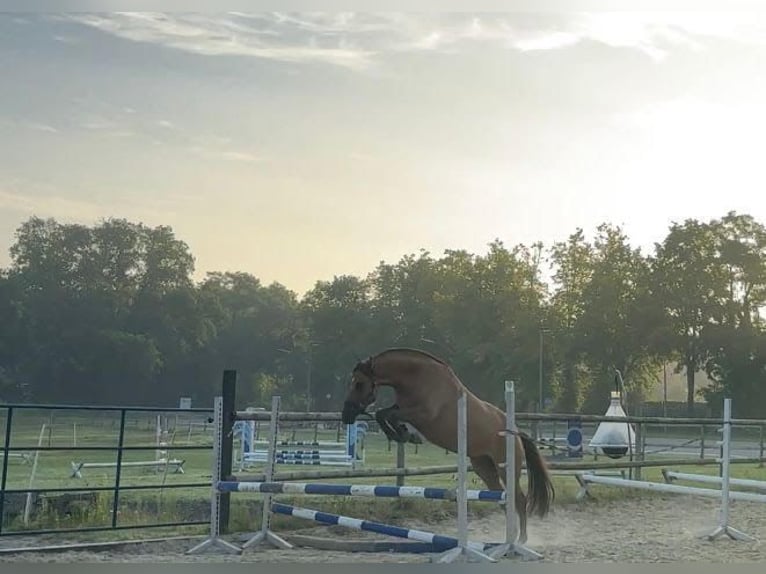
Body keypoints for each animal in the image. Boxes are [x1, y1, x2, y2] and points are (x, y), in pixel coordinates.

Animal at [344, 346, 556, 544]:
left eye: (359, 384)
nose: (346, 415)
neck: (417, 377)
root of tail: (515, 432)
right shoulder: (403, 408)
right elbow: (383, 414)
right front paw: (405, 434)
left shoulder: (423, 415)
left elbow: (388, 415)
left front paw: (406, 435)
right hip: (484, 468)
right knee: (503, 500)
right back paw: (511, 536)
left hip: (506, 468)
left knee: (519, 499)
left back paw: (521, 539)